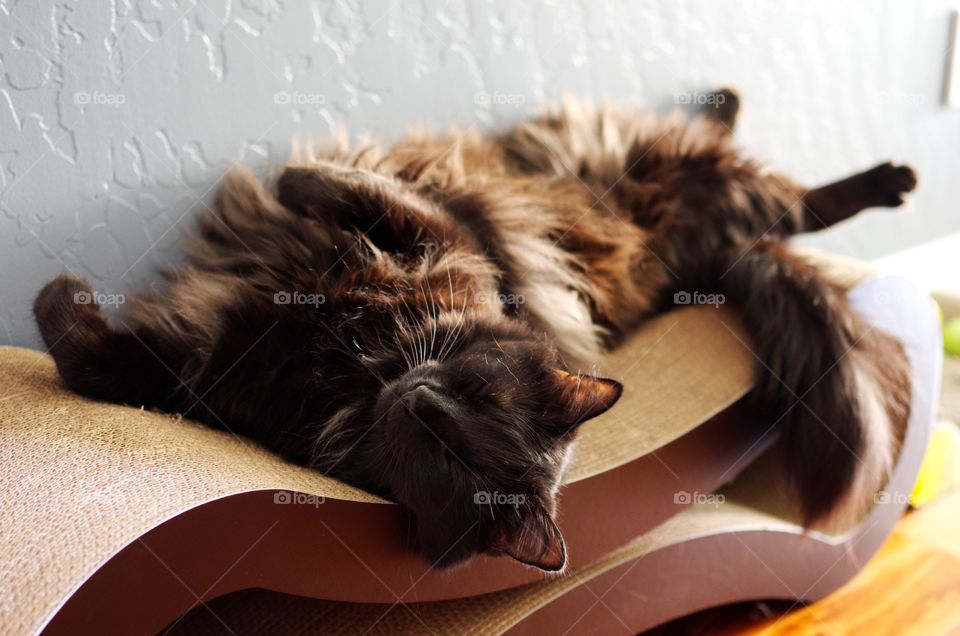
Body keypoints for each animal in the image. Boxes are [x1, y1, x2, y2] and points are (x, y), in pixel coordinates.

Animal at [31, 89, 916, 572]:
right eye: (480, 394)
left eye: (452, 457)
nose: (424, 406)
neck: (358, 365)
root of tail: (713, 259)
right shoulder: (433, 232)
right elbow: (334, 184)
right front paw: (294, 179)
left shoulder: (220, 372)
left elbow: (93, 361)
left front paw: (56, 293)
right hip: (668, 165)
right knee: (768, 171)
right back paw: (756, 111)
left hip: (726, 196)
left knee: (800, 202)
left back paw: (896, 179)